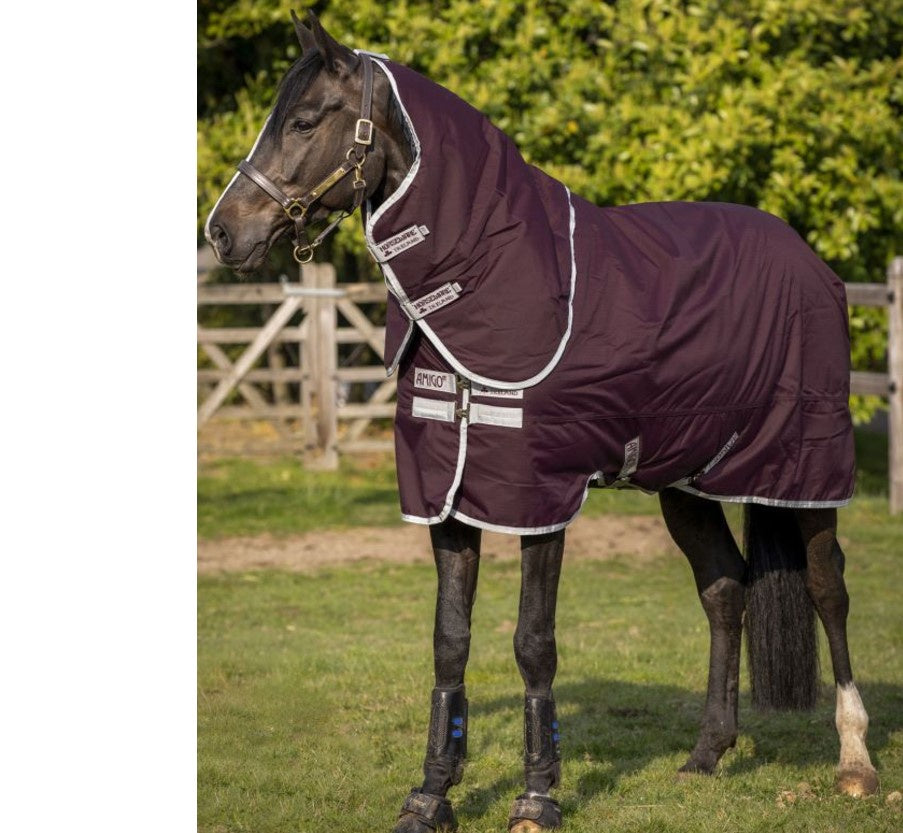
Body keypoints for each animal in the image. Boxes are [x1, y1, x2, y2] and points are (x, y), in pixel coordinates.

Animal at [204, 12, 879, 832]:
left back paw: (854, 761)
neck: (490, 275)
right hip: (685, 478)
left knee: (827, 587)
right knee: (724, 588)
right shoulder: (447, 497)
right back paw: (705, 754)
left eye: (303, 121)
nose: (222, 233)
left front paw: (535, 797)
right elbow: (448, 642)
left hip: (807, 469)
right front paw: (430, 794)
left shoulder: (538, 498)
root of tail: (810, 261)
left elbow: (532, 642)